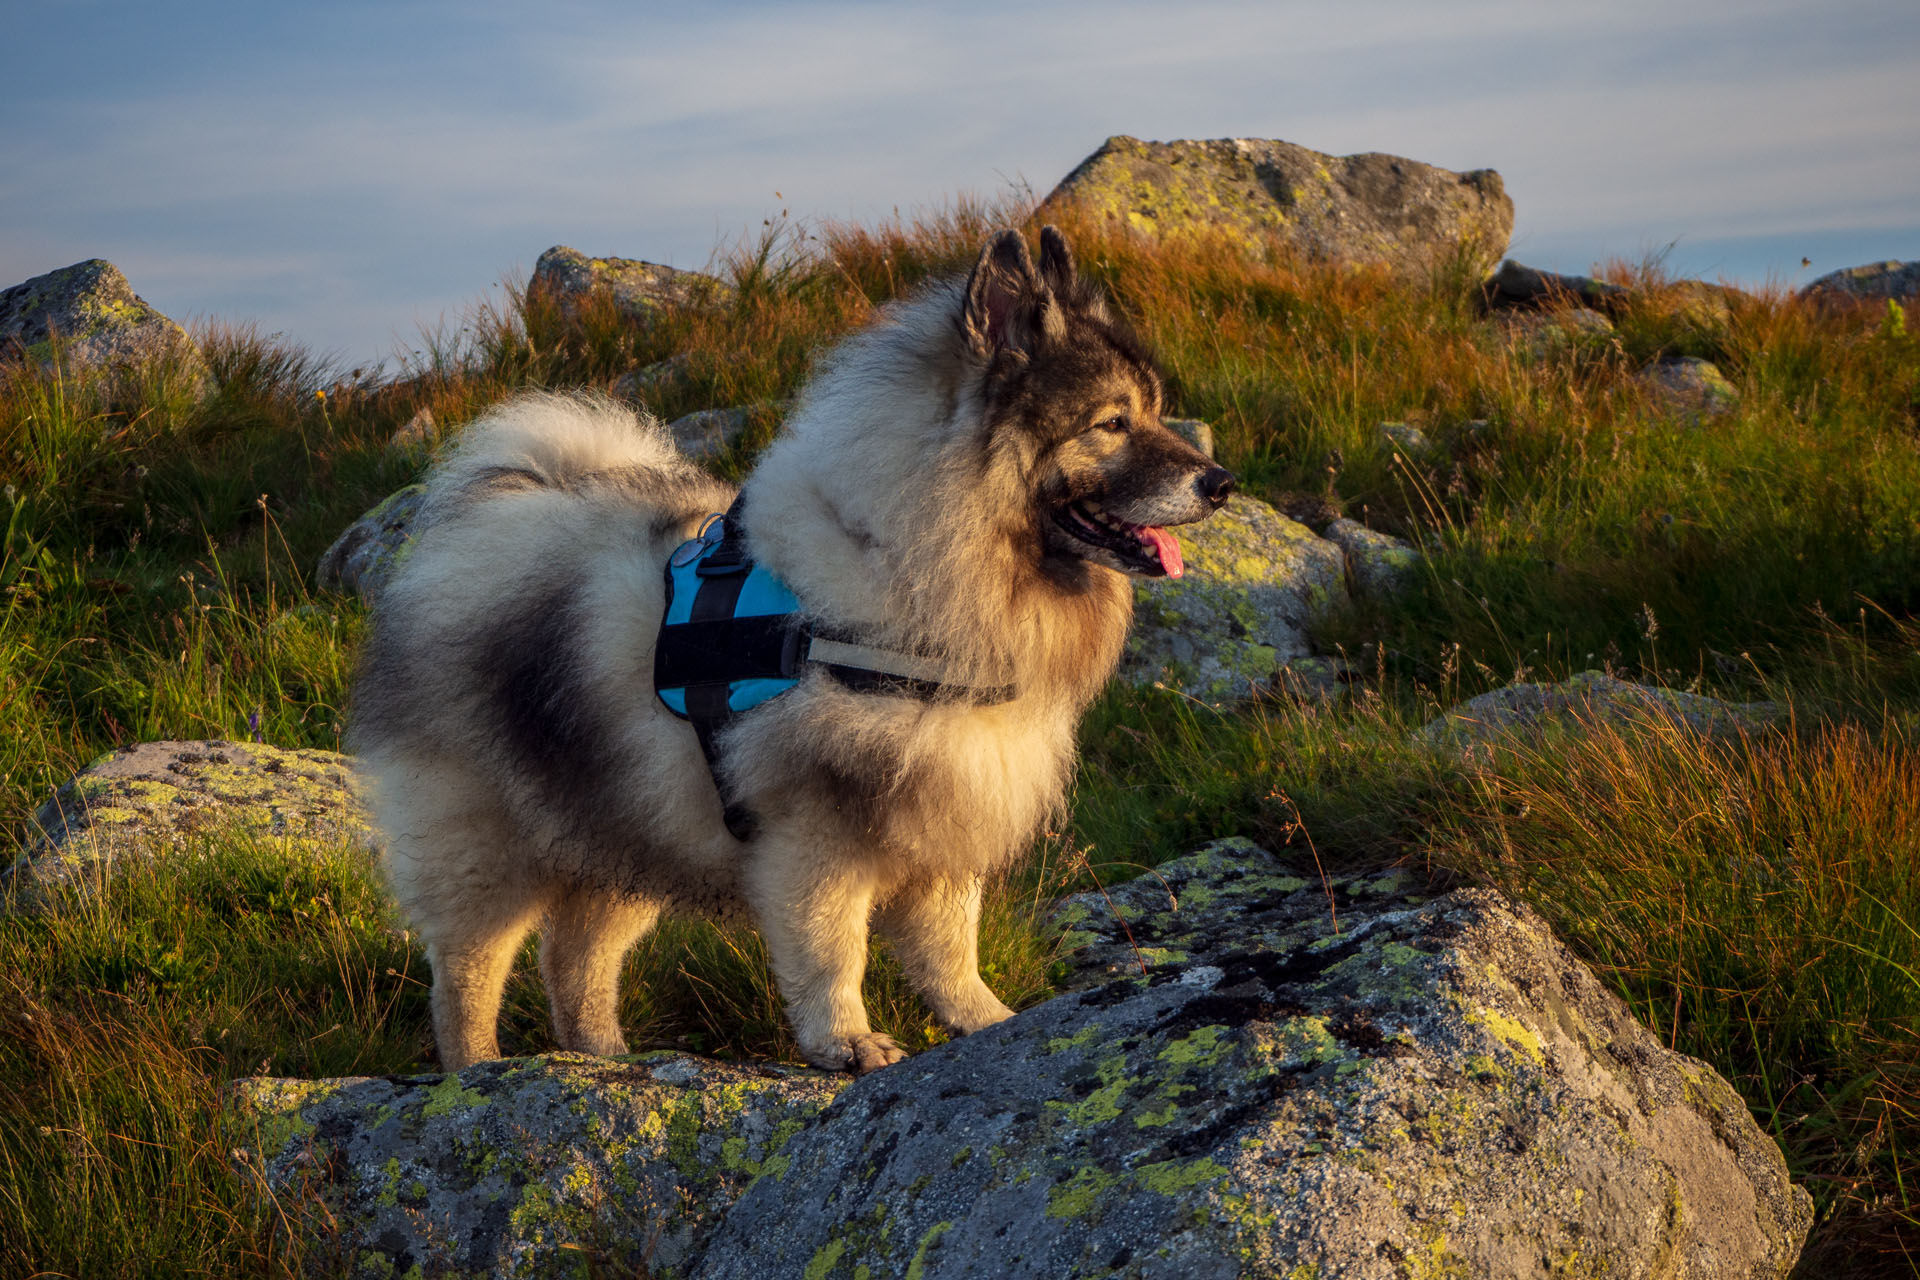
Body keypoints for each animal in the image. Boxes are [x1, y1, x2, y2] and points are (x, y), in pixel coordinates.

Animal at [353, 227, 1236, 1074]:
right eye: (1111, 423)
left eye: (1153, 412)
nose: (1222, 482)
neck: (907, 563)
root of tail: (500, 512)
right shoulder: (816, 829)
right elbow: (831, 950)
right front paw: (847, 1042)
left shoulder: (947, 798)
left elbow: (950, 947)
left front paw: (986, 1021)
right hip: (487, 839)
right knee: (468, 971)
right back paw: (477, 1072)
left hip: (628, 821)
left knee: (578, 956)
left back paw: (604, 1056)